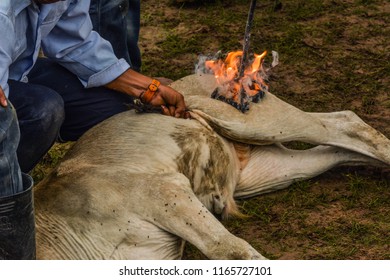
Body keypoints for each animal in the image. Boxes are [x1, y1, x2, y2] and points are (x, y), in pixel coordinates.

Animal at [34, 73, 390, 260]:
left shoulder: (164, 192)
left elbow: (230, 249)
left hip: (257, 122)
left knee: (344, 122)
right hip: (267, 170)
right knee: (341, 147)